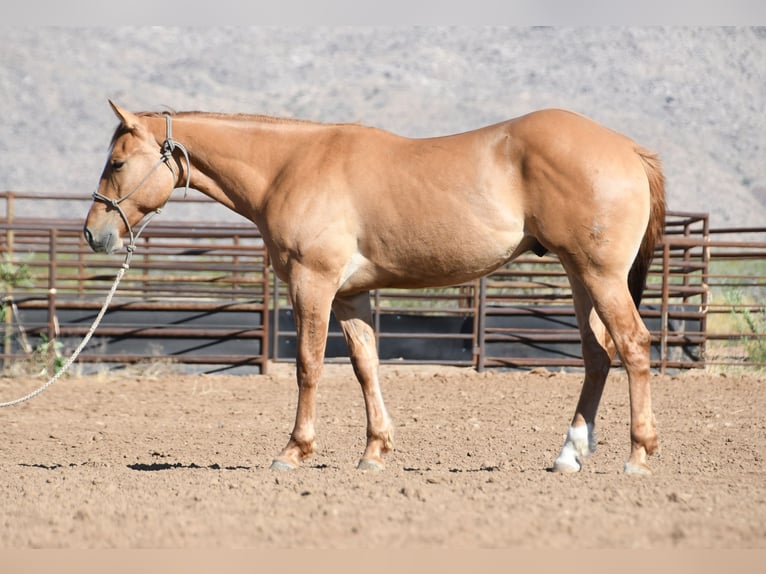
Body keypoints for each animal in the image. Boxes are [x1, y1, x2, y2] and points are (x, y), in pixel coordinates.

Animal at [84, 100, 665, 475]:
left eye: (117, 162)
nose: (95, 232)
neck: (288, 168)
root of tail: (630, 149)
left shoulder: (312, 285)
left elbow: (309, 366)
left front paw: (294, 451)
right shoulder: (349, 295)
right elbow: (366, 367)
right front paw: (374, 451)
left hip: (599, 276)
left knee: (633, 346)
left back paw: (638, 455)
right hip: (579, 275)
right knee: (597, 355)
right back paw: (569, 454)